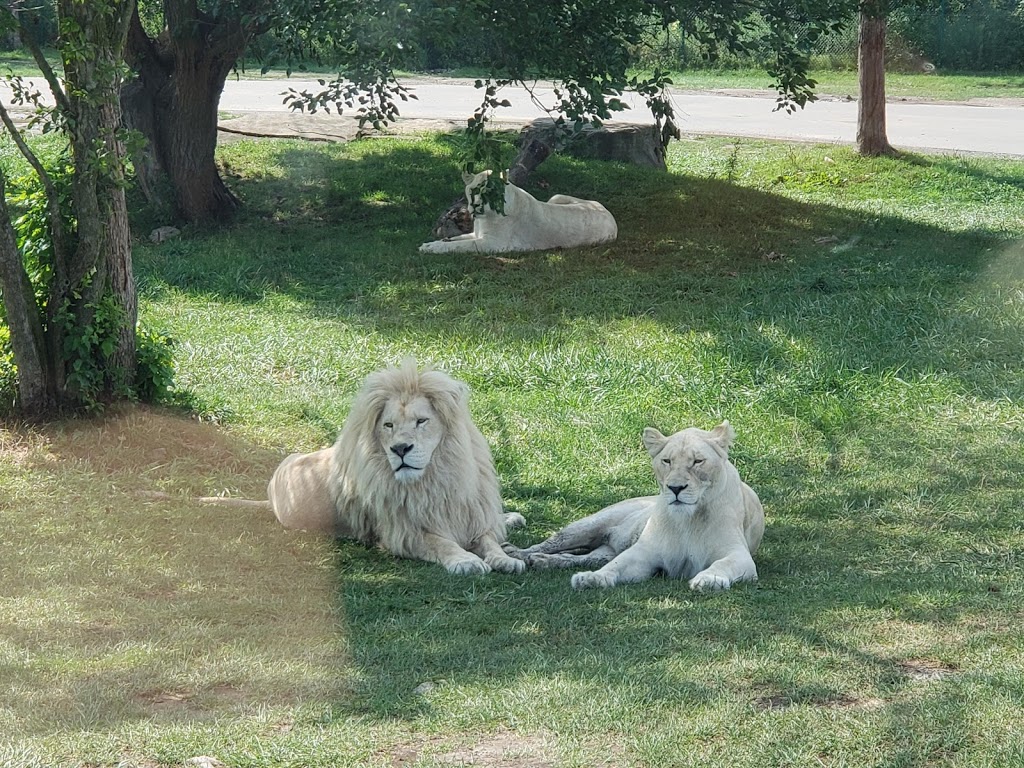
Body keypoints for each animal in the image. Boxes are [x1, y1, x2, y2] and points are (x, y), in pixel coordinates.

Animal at [268, 362, 528, 577]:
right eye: (388, 425)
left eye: (421, 421)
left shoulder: (474, 517)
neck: (436, 479)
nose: (400, 448)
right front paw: (467, 561)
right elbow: (441, 543)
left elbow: (490, 541)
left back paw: (511, 518)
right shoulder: (402, 533)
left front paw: (506, 559)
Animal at [417, 169, 614, 253]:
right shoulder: (477, 234)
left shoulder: (493, 244)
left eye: (490, 192)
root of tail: (609, 213)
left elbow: (460, 245)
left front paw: (431, 248)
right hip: (556, 197)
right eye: (474, 190)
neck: (484, 218)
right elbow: (456, 239)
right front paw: (433, 242)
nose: (476, 206)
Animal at [503, 421, 761, 593]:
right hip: (586, 526)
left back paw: (542, 561)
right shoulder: (645, 552)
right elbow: (617, 566)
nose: (675, 488)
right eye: (667, 461)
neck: (688, 519)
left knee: (582, 557)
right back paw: (517, 553)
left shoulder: (739, 555)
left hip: (602, 549)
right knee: (549, 544)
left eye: (698, 461)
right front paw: (592, 579)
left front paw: (708, 579)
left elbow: (722, 564)